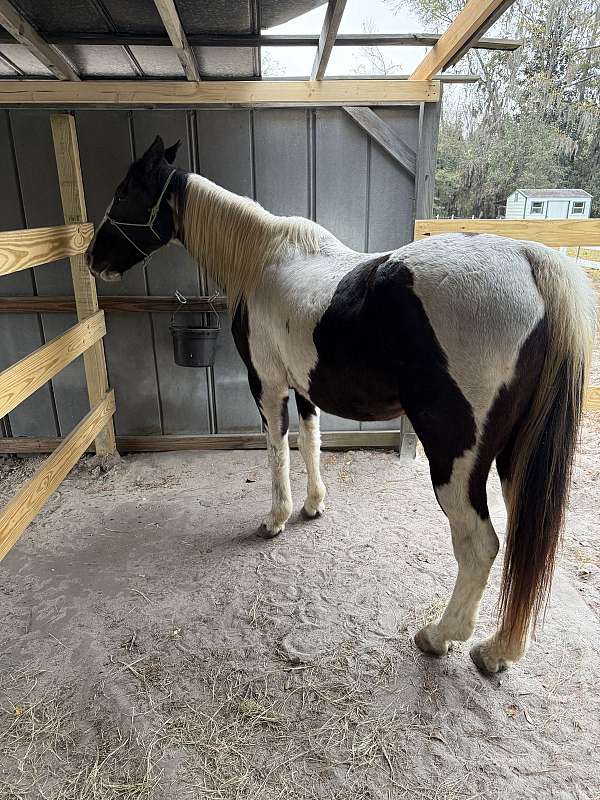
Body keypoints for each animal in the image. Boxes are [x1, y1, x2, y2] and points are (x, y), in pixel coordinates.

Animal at [87, 135, 596, 675]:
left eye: (124, 192)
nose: (92, 257)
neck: (263, 259)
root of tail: (528, 260)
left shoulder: (267, 385)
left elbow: (277, 452)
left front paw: (276, 519)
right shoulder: (305, 388)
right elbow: (311, 442)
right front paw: (313, 506)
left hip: (456, 459)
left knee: (480, 546)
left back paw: (439, 636)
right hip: (517, 456)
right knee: (524, 541)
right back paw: (499, 650)